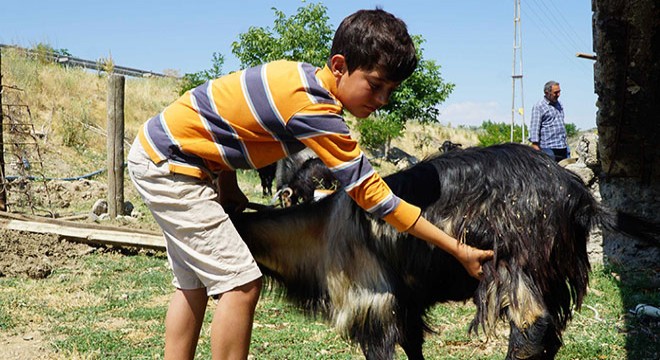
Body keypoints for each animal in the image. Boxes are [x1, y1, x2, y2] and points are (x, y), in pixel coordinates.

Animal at [229, 143, 656, 360]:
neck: (322, 229)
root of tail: (580, 195)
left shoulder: (371, 302)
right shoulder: (405, 303)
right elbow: (414, 346)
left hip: (515, 264)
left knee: (532, 328)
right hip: (550, 272)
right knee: (551, 337)